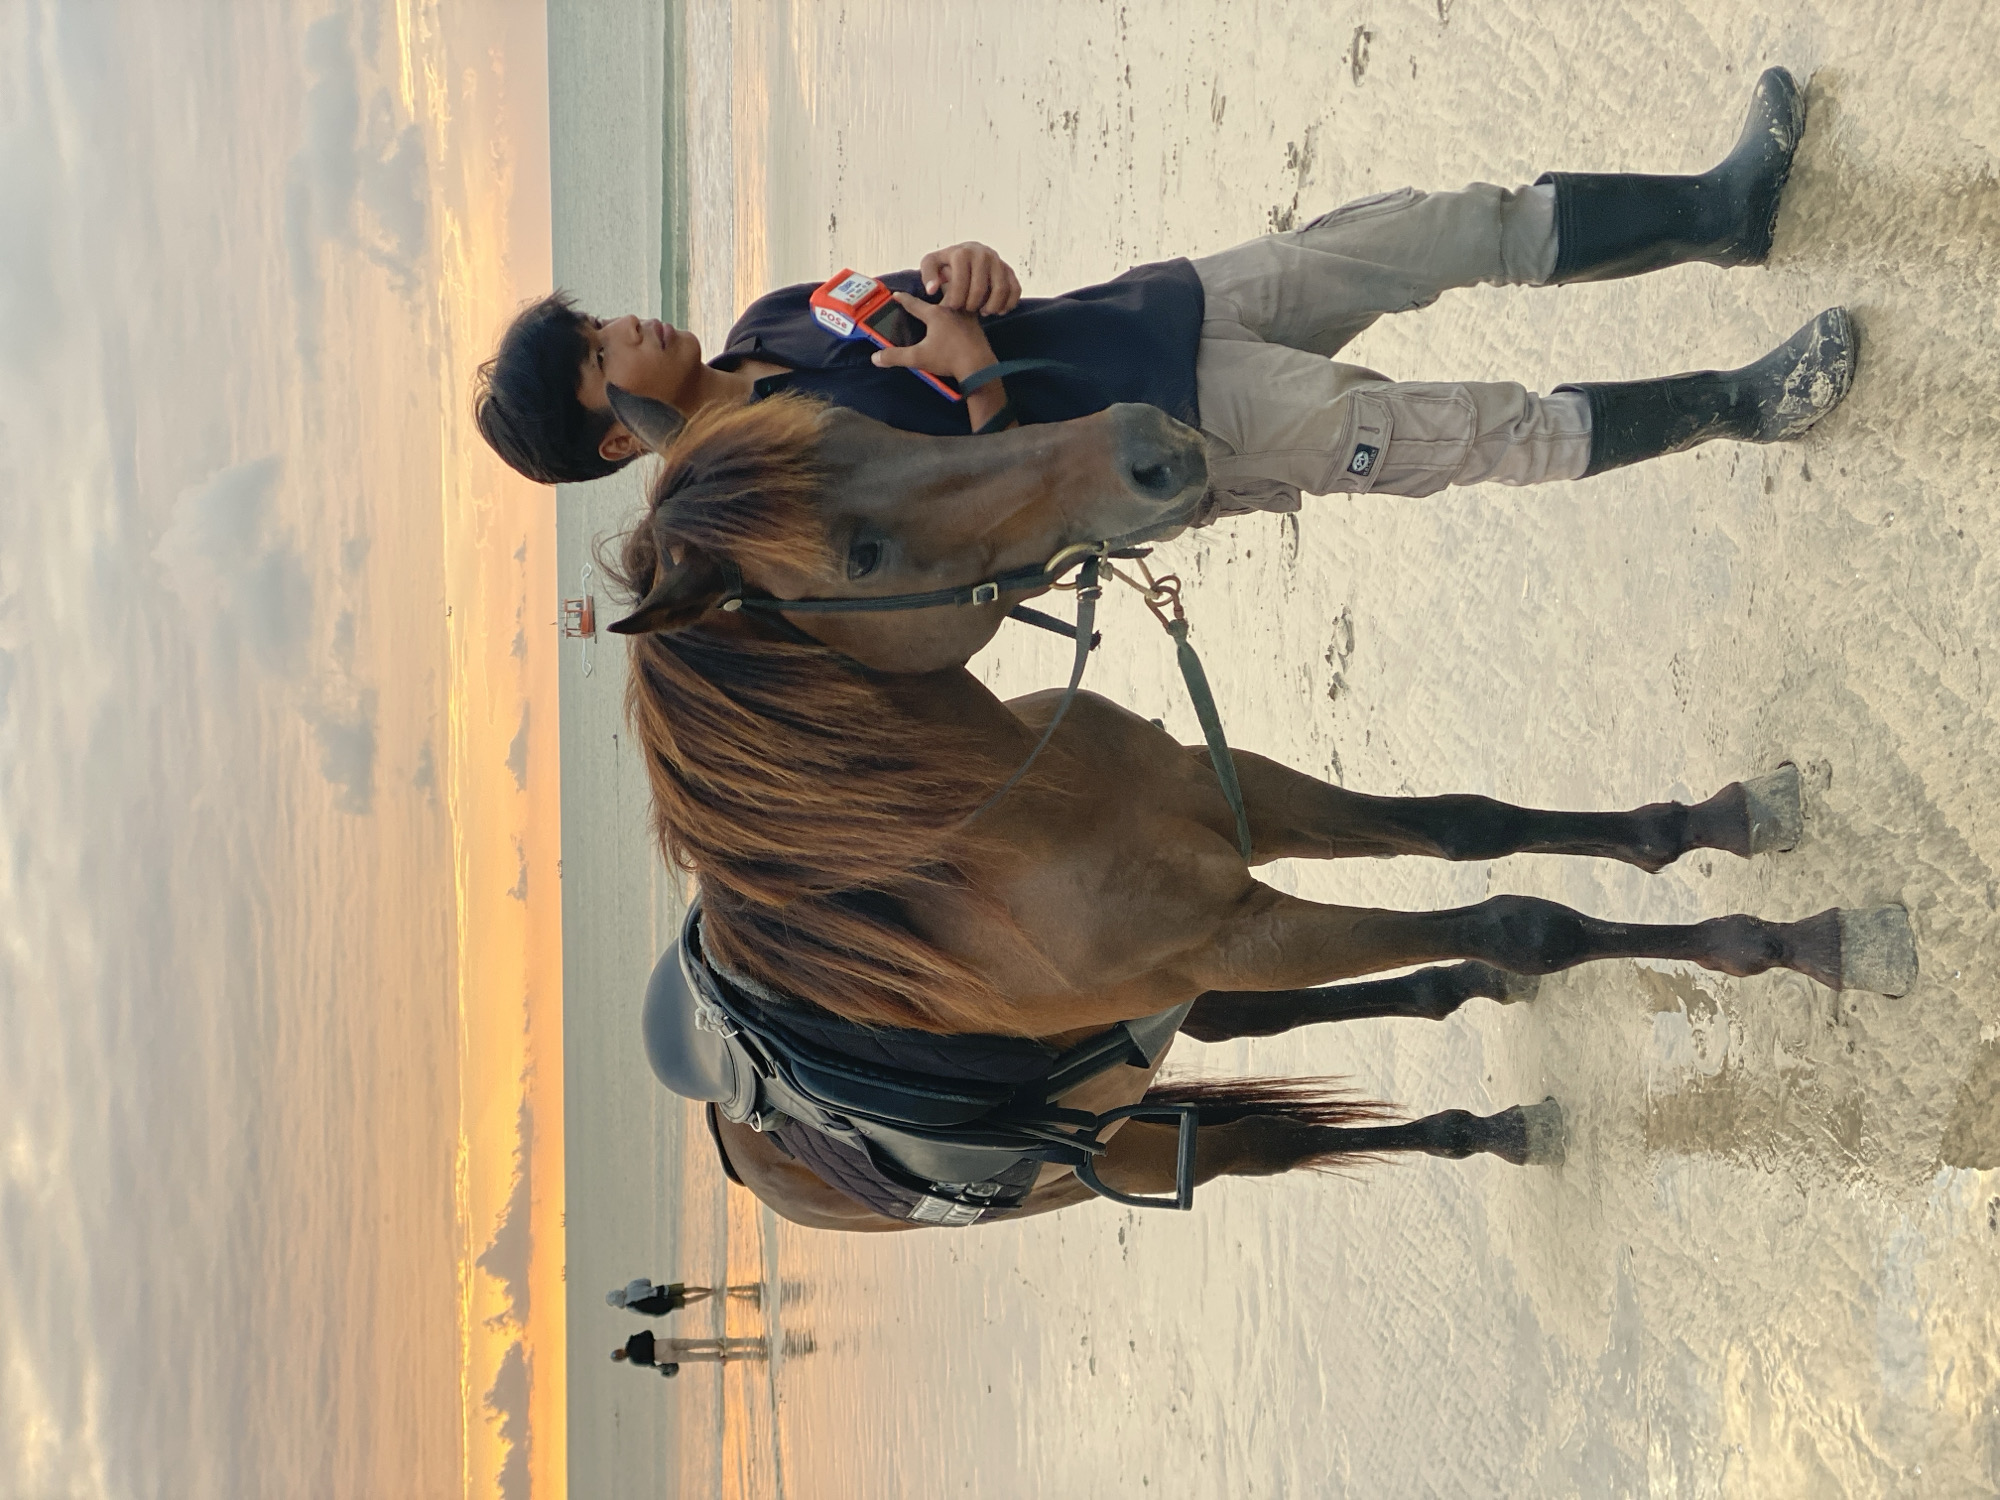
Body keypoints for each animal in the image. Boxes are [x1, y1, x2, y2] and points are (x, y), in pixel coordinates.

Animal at [603, 392, 1915, 1233]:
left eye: (864, 421)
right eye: (859, 556)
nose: (1141, 446)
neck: (991, 825)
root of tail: (747, 1151)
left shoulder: (1235, 803)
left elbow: (1468, 822)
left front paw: (1713, 820)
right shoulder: (1239, 927)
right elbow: (1521, 921)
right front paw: (1801, 942)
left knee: (1297, 1023)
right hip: (1129, 1143)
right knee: (1278, 1136)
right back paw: (1476, 1126)